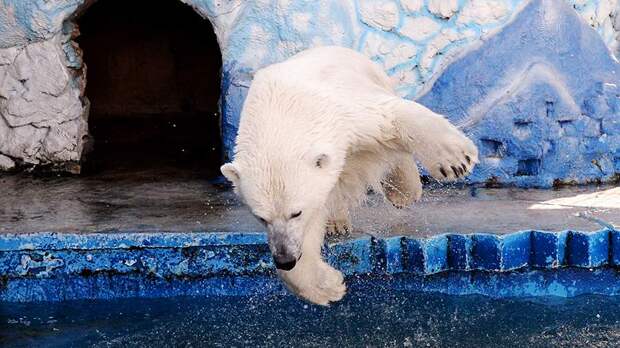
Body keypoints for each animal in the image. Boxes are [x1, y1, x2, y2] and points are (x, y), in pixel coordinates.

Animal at [220, 46, 478, 304]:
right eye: (261, 218)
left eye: (296, 212)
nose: (284, 259)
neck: (281, 110)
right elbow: (311, 225)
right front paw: (328, 286)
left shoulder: (341, 108)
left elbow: (390, 116)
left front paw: (456, 161)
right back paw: (337, 223)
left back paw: (403, 191)